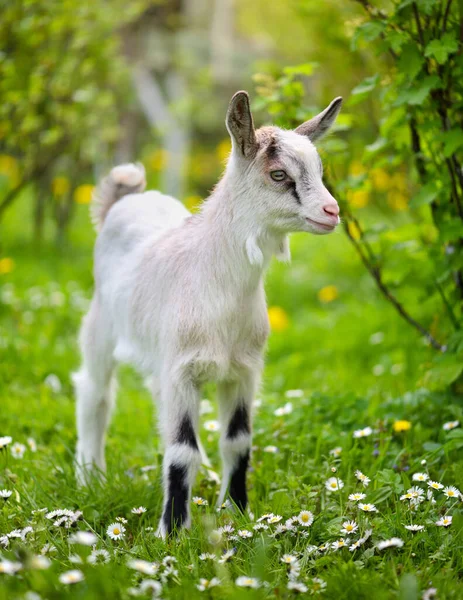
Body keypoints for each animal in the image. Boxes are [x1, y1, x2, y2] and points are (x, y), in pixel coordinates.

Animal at [75, 91, 340, 536]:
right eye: (279, 174)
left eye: (319, 170)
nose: (332, 211)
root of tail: (126, 198)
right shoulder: (182, 372)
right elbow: (182, 450)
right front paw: (172, 533)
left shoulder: (243, 371)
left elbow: (237, 441)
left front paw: (236, 513)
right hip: (100, 329)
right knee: (95, 394)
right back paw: (89, 477)